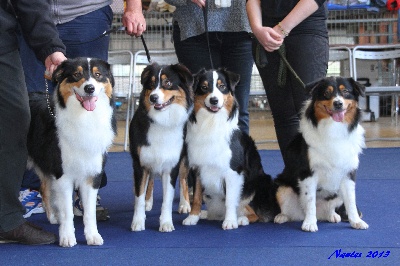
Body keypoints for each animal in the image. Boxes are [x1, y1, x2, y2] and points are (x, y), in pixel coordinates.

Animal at [26, 57, 115, 246]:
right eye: (76, 74)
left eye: (98, 75)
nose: (90, 88)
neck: (84, 117)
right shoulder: (63, 173)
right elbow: (67, 211)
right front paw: (67, 237)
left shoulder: (92, 173)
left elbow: (90, 213)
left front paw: (93, 236)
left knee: (44, 187)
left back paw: (53, 217)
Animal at [130, 62, 194, 233]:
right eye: (151, 84)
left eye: (168, 83)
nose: (153, 97)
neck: (162, 122)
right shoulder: (140, 163)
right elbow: (139, 196)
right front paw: (138, 221)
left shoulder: (171, 166)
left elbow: (168, 198)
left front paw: (166, 223)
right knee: (151, 179)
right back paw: (148, 202)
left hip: (184, 158)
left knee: (184, 179)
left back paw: (185, 204)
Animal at [184, 68, 278, 229]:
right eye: (204, 87)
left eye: (222, 86)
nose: (214, 100)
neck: (211, 122)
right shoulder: (197, 168)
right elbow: (196, 196)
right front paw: (193, 217)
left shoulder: (233, 171)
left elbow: (230, 200)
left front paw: (230, 221)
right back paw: (207, 214)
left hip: (259, 183)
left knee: (256, 214)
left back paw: (242, 219)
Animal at [274, 76, 370, 232]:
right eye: (326, 93)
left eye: (346, 91)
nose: (338, 103)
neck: (334, 129)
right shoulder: (308, 173)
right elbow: (310, 201)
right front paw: (309, 223)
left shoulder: (348, 173)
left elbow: (351, 201)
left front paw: (356, 221)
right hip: (282, 188)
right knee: (290, 209)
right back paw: (282, 216)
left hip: (336, 193)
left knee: (330, 208)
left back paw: (332, 215)